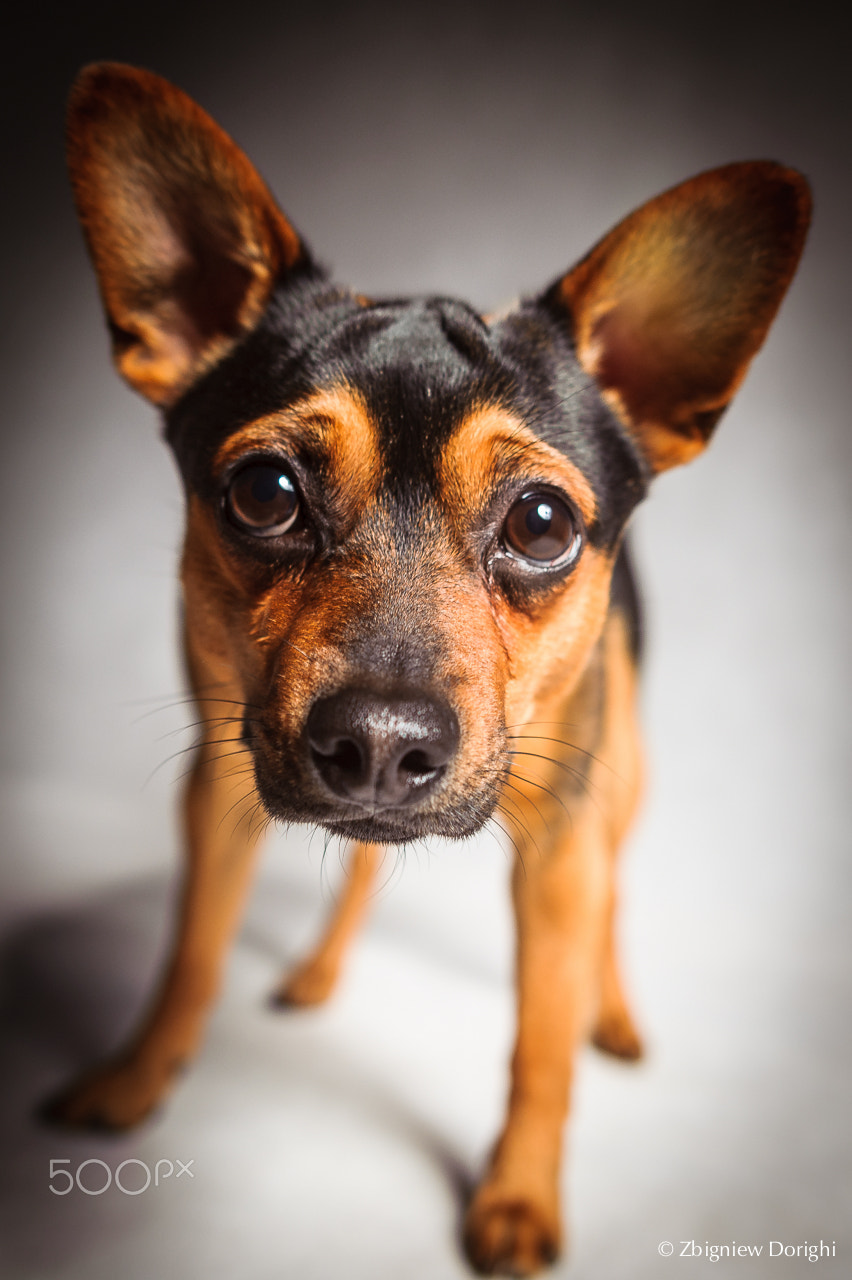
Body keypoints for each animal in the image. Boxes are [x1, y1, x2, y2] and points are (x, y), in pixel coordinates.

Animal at [47, 64, 808, 1274]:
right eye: (264, 492)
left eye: (542, 523)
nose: (379, 741)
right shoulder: (218, 787)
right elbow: (191, 949)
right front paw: (135, 1078)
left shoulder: (559, 846)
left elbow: (539, 1041)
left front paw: (520, 1194)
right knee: (360, 864)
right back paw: (319, 968)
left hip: (627, 776)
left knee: (615, 890)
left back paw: (612, 1009)